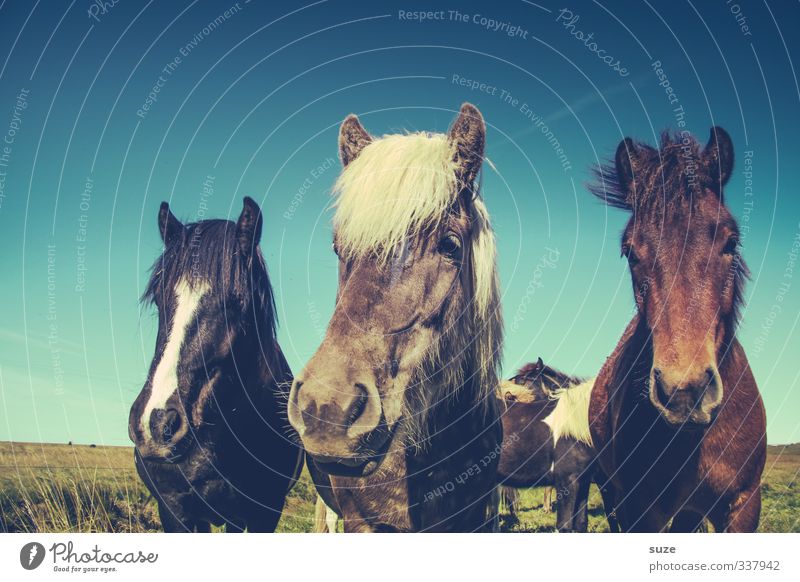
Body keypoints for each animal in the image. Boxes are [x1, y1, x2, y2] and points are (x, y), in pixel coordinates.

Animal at [494, 360, 620, 532]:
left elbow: (582, 523)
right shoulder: (568, 481)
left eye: (525, 379)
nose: (506, 393)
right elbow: (565, 525)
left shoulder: (584, 481)